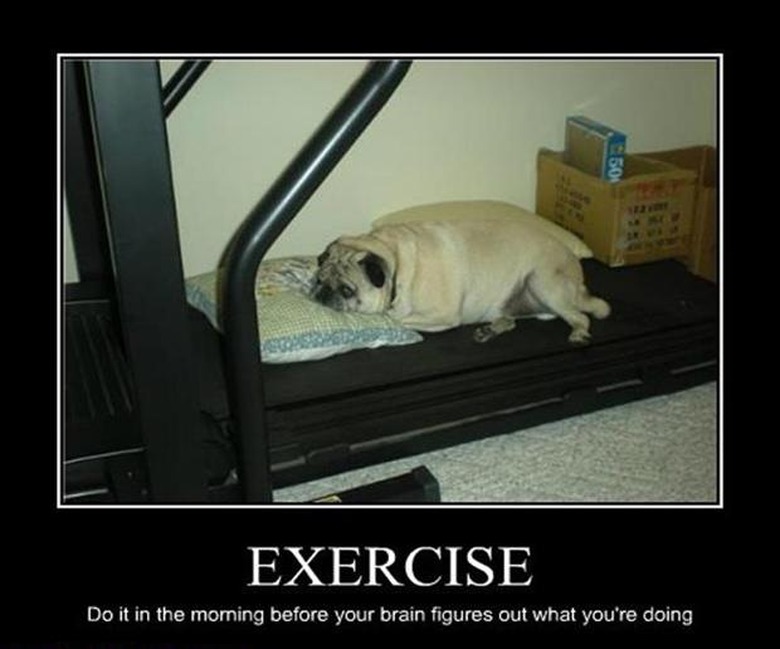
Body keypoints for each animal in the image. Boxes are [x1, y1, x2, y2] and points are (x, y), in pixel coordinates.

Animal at [310, 218, 608, 344]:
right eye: (319, 280)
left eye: (347, 290)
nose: (322, 293)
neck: (396, 261)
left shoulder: (440, 314)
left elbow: (396, 319)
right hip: (514, 302)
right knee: (510, 320)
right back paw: (490, 330)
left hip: (543, 283)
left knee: (581, 317)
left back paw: (579, 333)